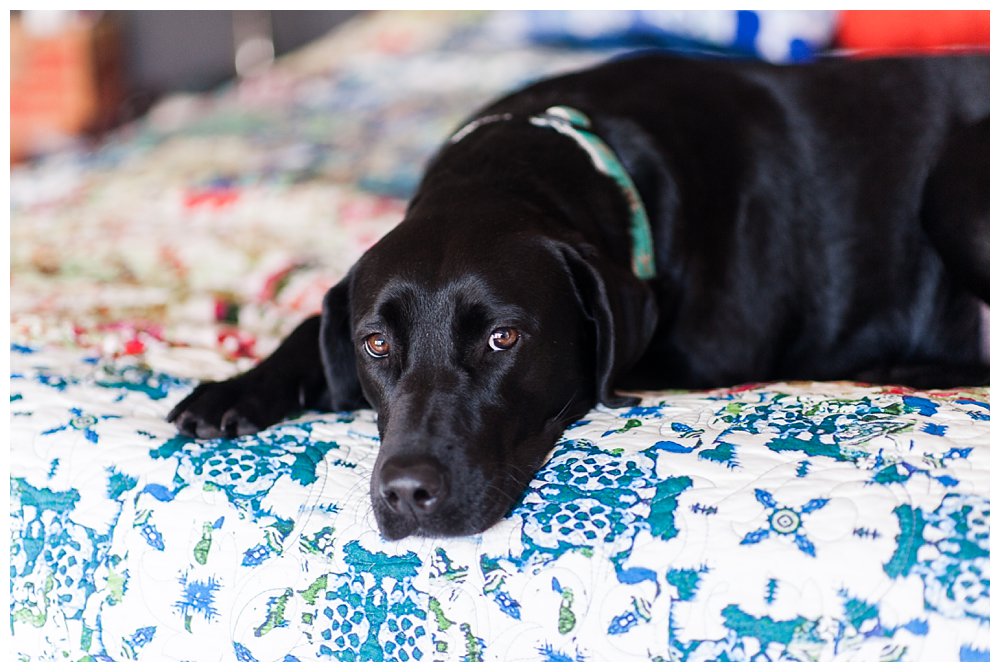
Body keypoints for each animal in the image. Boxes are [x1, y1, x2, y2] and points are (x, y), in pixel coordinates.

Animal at [168, 55, 988, 544]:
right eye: (376, 345)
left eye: (502, 339)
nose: (404, 492)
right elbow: (315, 316)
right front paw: (236, 387)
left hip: (957, 189)